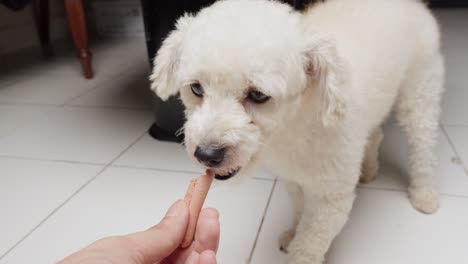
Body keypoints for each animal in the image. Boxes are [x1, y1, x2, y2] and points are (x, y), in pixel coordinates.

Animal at [151, 0, 446, 262]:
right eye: (196, 88)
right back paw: (370, 170)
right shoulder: (294, 180)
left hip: (419, 94)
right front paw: (293, 233)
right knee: (375, 135)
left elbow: (310, 242)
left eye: (258, 95)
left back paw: (424, 195)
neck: (293, 127)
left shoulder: (332, 198)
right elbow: (300, 210)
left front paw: (300, 246)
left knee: (422, 145)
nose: (207, 155)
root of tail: (414, 4)